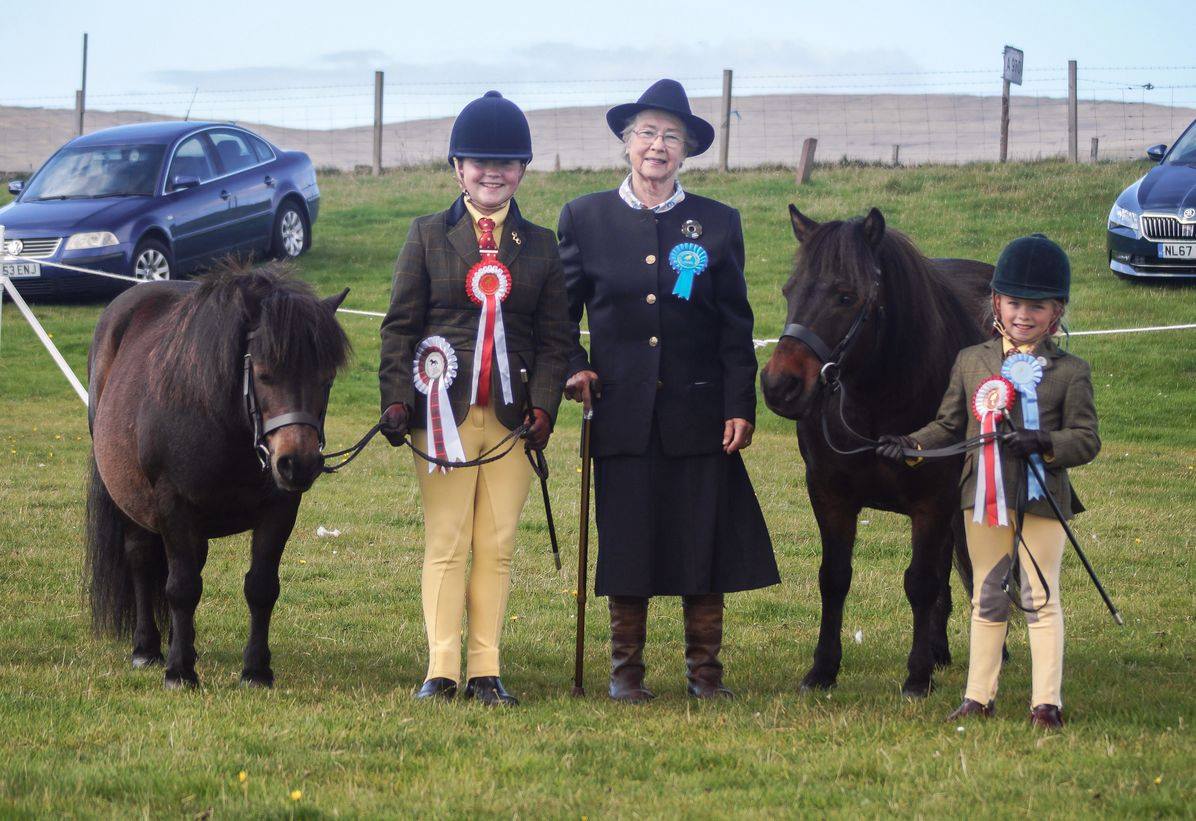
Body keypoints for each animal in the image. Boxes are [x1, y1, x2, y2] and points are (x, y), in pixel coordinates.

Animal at [86, 266, 349, 689]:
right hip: (130, 501)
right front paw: (179, 672)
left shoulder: (280, 509)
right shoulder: (172, 505)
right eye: (263, 374)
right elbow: (181, 587)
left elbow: (261, 587)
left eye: (326, 378)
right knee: (143, 561)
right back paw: (147, 648)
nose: (298, 463)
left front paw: (256, 671)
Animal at [760, 207, 995, 698]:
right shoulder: (830, 496)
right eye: (790, 290)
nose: (779, 385)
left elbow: (921, 582)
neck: (879, 404)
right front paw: (823, 669)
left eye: (846, 296)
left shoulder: (932, 501)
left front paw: (917, 676)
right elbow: (834, 578)